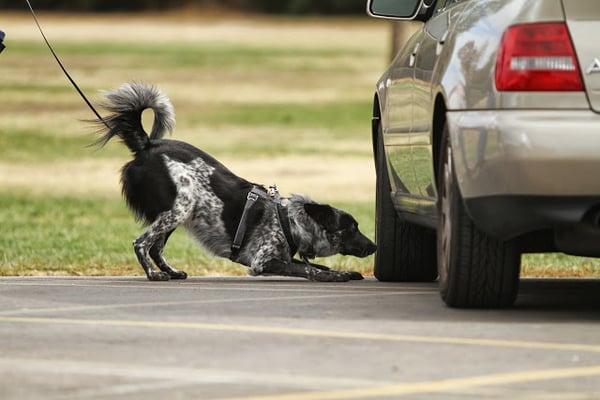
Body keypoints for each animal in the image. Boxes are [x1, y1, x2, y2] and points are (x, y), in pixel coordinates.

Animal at [95, 82, 376, 282]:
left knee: (155, 248)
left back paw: (171, 272)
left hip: (177, 212)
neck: (290, 221)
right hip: (176, 209)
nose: (374, 246)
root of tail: (147, 145)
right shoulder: (262, 261)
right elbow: (313, 270)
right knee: (142, 243)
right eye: (351, 228)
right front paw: (338, 275)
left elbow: (318, 265)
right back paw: (154, 275)